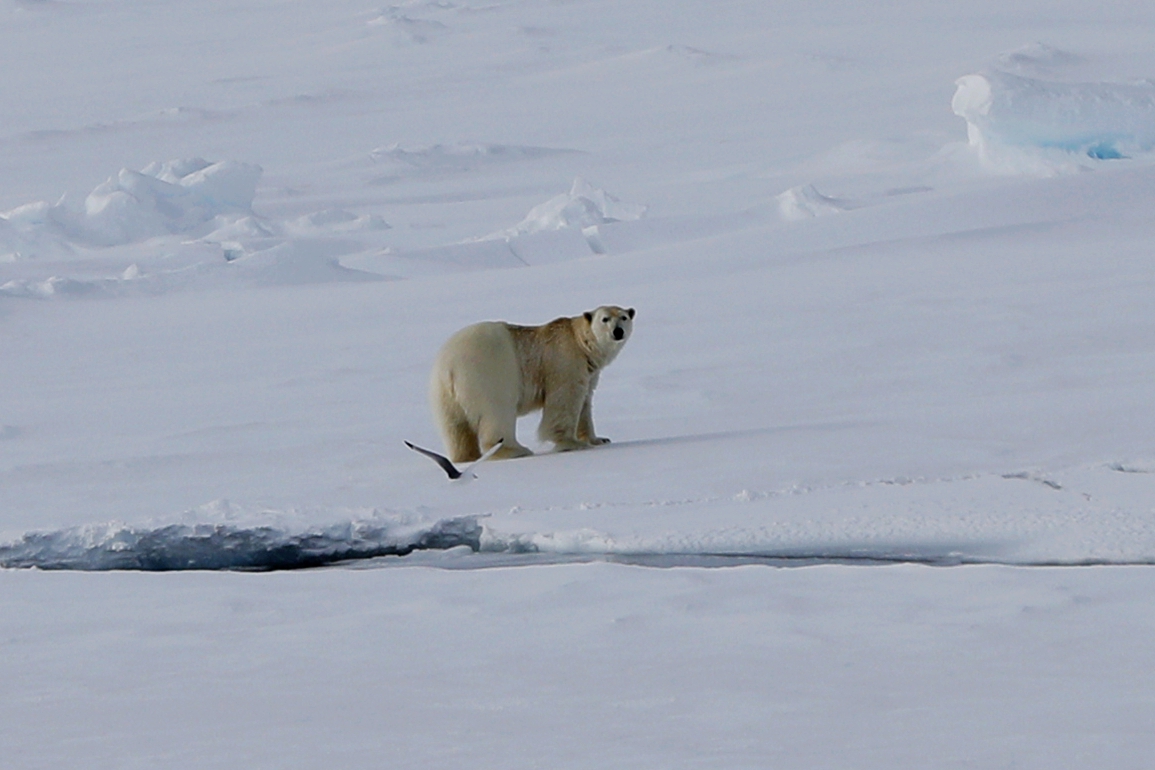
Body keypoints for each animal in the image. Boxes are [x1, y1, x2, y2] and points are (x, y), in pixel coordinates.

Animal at [429, 304, 637, 464]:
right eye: (605, 319)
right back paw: (516, 450)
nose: (618, 331)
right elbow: (565, 399)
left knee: (455, 426)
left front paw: (599, 439)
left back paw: (466, 456)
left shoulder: (589, 372)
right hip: (490, 373)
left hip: (442, 391)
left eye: (624, 317)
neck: (580, 342)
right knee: (498, 413)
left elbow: (585, 401)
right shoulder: (564, 360)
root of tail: (450, 367)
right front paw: (572, 443)